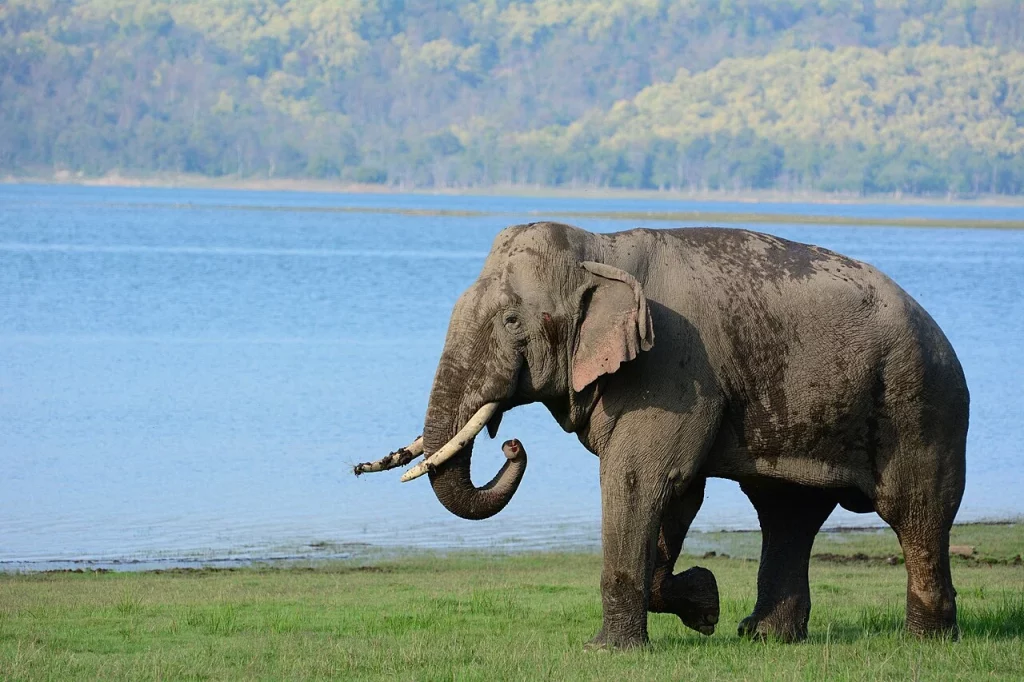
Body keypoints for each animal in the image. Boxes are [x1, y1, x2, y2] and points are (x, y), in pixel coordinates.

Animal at [356, 222, 968, 649]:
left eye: (511, 322)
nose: (511, 445)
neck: (599, 248)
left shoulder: (672, 366)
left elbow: (642, 478)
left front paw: (608, 649)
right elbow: (678, 491)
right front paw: (706, 605)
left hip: (921, 404)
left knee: (914, 510)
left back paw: (926, 641)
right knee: (787, 513)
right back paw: (762, 636)